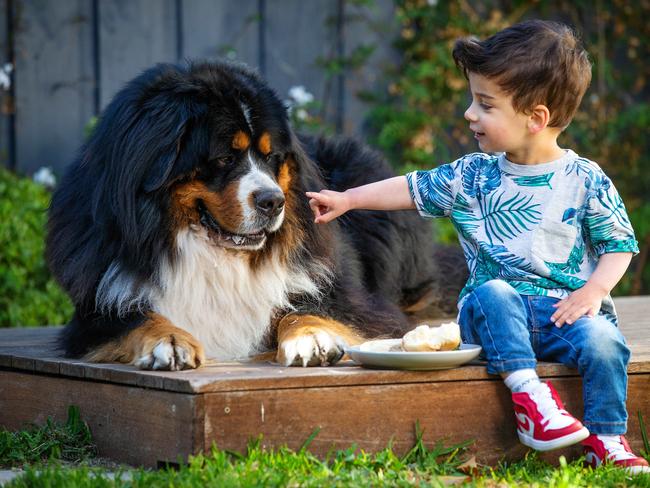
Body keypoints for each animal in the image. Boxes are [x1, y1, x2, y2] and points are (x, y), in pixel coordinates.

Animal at [45, 60, 466, 370]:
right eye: (224, 158)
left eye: (271, 156)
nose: (273, 201)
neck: (215, 255)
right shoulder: (96, 312)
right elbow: (139, 318)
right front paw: (169, 340)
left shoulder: (352, 300)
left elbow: (305, 309)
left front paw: (310, 337)